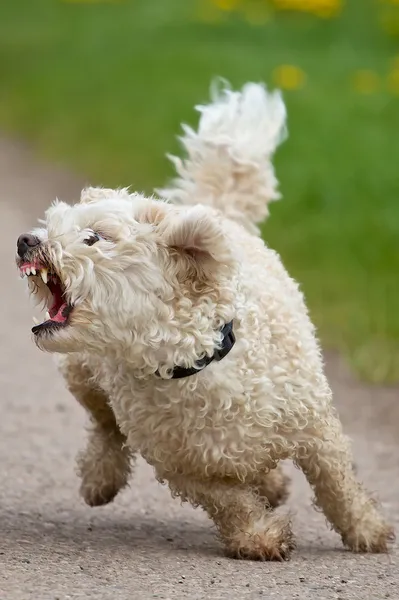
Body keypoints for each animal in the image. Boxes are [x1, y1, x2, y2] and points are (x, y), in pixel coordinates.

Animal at [14, 82, 394, 560]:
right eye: (51, 224)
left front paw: (366, 529)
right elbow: (228, 500)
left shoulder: (315, 425)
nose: (25, 241)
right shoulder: (180, 465)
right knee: (105, 426)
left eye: (94, 237)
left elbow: (336, 484)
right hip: (83, 376)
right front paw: (258, 537)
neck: (193, 362)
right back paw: (101, 478)